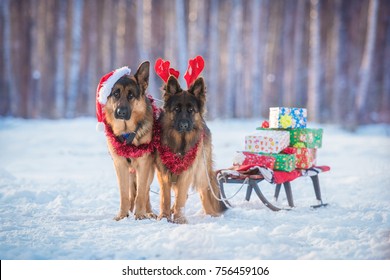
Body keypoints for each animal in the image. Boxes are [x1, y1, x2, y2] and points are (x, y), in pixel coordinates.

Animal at [96, 61, 159, 221]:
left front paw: (140, 215)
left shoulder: (143, 164)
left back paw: (148, 212)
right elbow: (124, 194)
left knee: (145, 192)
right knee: (132, 193)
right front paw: (122, 215)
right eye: (116, 93)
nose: (121, 112)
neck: (127, 133)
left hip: (149, 171)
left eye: (131, 95)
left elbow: (141, 193)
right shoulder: (120, 165)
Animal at [156, 75, 227, 224]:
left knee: (204, 190)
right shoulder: (163, 172)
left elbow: (181, 197)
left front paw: (179, 219)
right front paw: (164, 217)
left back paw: (211, 214)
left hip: (201, 170)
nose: (184, 125)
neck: (179, 143)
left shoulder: (187, 171)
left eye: (191, 110)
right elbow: (165, 197)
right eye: (176, 109)